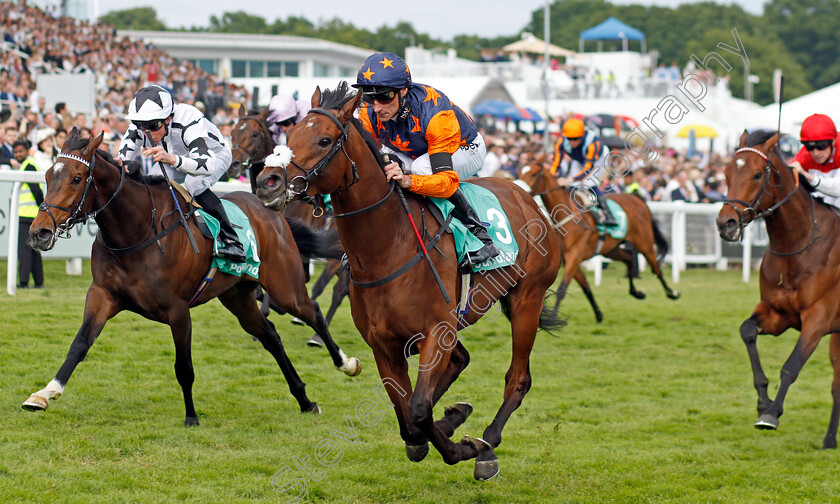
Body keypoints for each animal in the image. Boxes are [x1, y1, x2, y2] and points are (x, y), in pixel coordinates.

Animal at [21, 128, 360, 424]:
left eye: (77, 178)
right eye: (48, 176)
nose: (39, 232)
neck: (136, 232)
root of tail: (274, 214)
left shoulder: (178, 310)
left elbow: (183, 367)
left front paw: (191, 417)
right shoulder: (102, 295)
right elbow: (79, 344)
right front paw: (43, 394)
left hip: (285, 286)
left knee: (313, 312)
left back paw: (346, 364)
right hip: (237, 297)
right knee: (271, 337)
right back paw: (304, 399)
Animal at [253, 82, 560, 480]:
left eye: (324, 140)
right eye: (287, 137)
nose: (267, 182)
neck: (388, 248)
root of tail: (529, 199)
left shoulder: (435, 333)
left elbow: (417, 408)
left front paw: (464, 447)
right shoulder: (385, 344)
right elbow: (407, 414)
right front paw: (442, 427)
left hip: (527, 299)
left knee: (517, 378)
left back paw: (487, 444)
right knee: (459, 363)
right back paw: (456, 419)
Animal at [720, 130, 840, 448]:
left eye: (756, 174)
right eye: (727, 173)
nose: (726, 223)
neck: (798, 246)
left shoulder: (818, 319)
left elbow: (792, 364)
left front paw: (770, 414)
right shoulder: (777, 315)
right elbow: (747, 331)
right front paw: (763, 400)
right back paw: (829, 440)